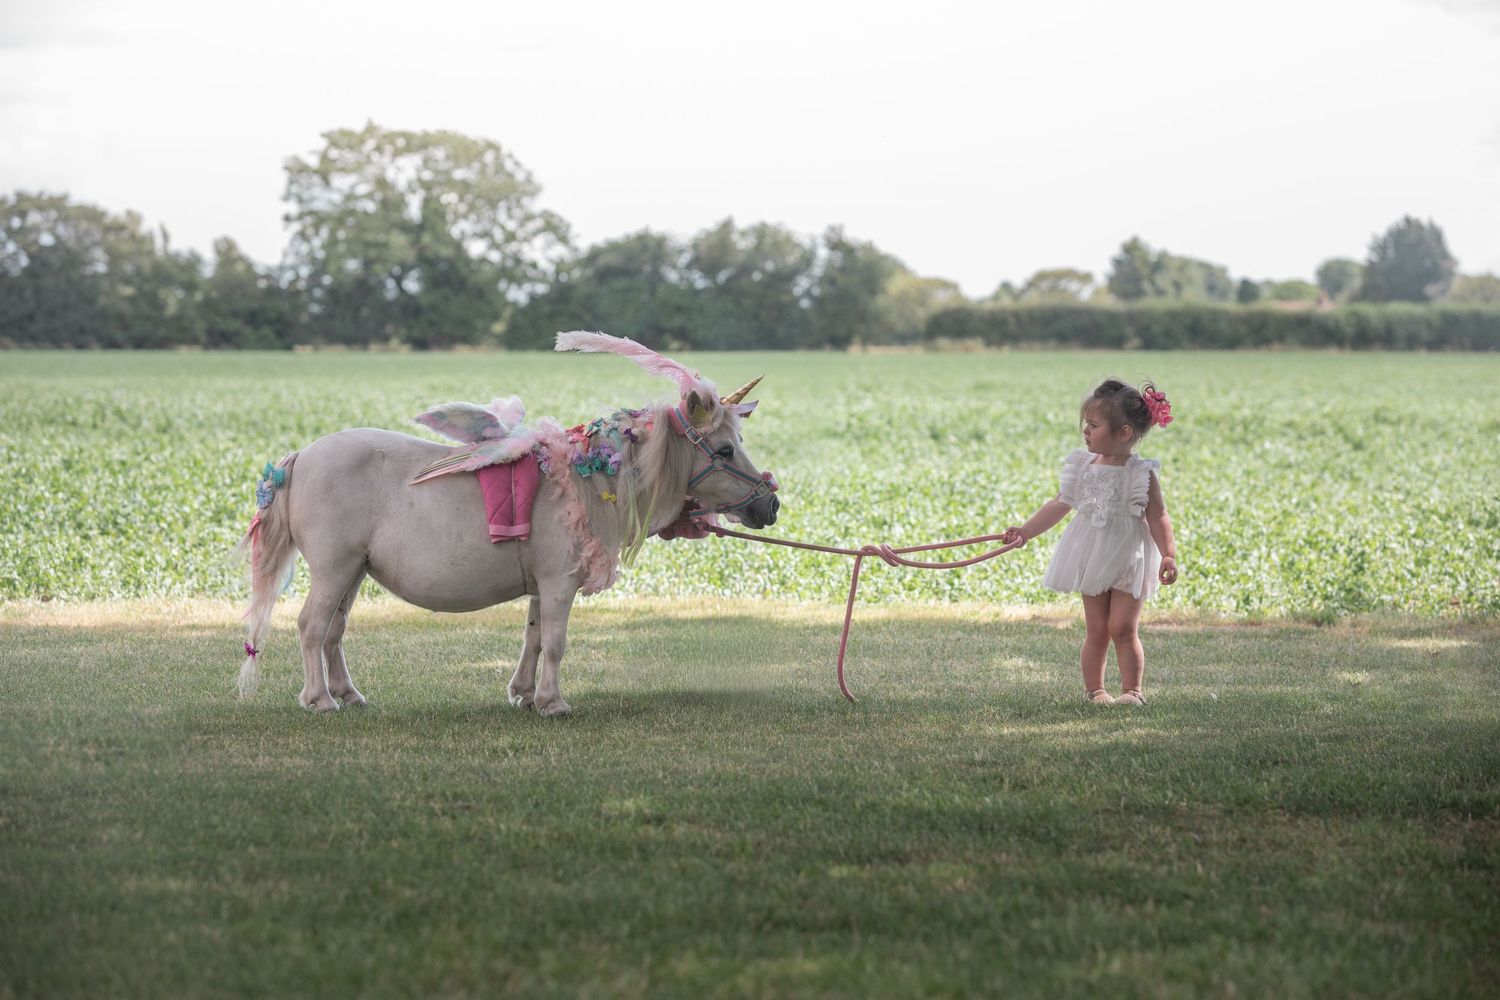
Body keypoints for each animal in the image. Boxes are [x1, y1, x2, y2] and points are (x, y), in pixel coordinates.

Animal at [235, 332, 780, 717]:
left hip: (352, 572)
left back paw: (346, 693)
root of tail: (300, 457)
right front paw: (553, 703)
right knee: (311, 626)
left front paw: (523, 694)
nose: (769, 505)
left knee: (333, 630)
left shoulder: (543, 585)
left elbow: (534, 638)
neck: (587, 480)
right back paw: (319, 699)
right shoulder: (560, 583)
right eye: (724, 450)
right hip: (334, 569)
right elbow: (556, 643)